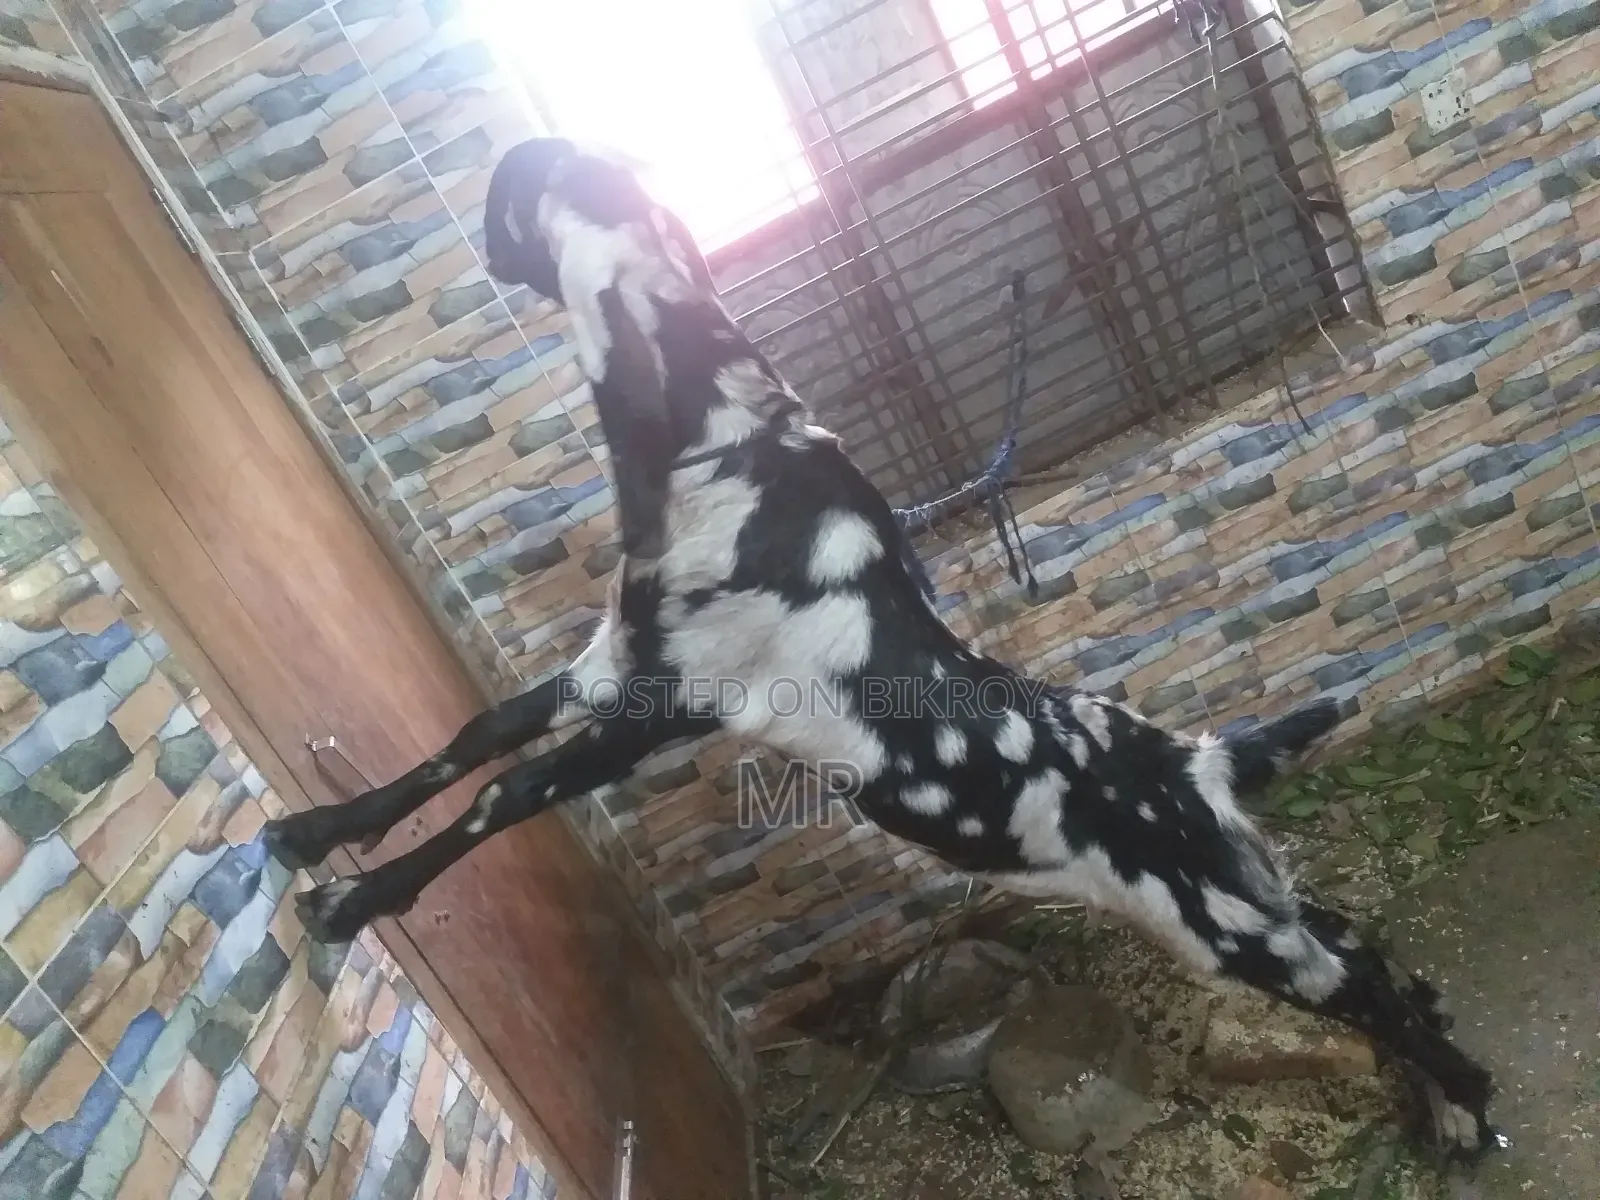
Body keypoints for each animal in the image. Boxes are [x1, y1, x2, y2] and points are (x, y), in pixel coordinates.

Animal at [263, 136, 1501, 1161]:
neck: (730, 452)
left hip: (1225, 930)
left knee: (1362, 981)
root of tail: (1201, 763)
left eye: (517, 187)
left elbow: (500, 796)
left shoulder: (663, 706)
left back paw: (1468, 1109)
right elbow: (468, 741)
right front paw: (313, 832)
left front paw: (349, 907)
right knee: (1361, 950)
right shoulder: (612, 663)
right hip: (1252, 900)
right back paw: (1438, 1095)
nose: (483, 239)